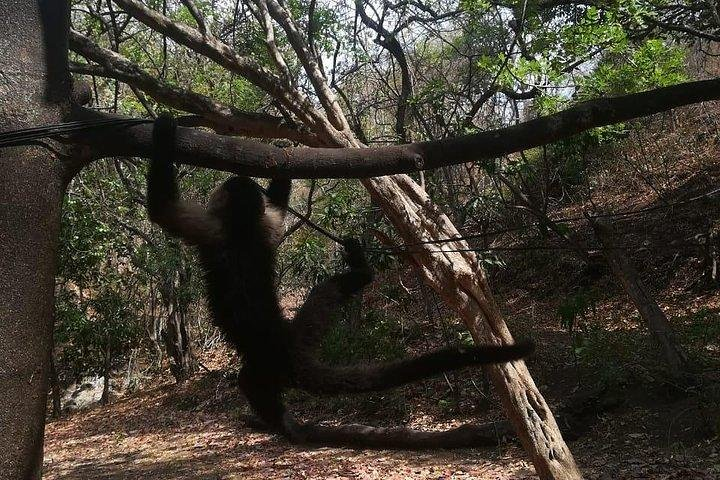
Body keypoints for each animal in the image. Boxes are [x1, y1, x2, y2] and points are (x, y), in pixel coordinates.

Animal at [149, 114, 536, 448]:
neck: (243, 225)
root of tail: (288, 350)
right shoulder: (261, 225)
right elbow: (277, 209)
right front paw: (282, 157)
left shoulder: (211, 229)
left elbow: (163, 211)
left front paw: (163, 132)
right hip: (306, 329)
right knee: (327, 290)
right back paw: (361, 273)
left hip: (265, 366)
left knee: (249, 383)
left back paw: (284, 425)